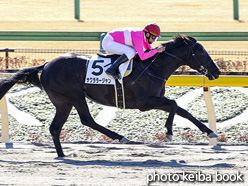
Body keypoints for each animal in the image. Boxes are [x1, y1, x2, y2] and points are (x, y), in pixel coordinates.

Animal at [0, 35, 221, 157]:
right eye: (202, 52)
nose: (217, 72)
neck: (153, 67)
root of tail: (46, 65)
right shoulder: (145, 102)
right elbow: (175, 105)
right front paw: (169, 131)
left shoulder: (153, 100)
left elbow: (182, 110)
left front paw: (209, 132)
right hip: (74, 95)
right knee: (86, 119)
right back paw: (121, 137)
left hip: (63, 102)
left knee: (56, 127)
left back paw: (62, 154)